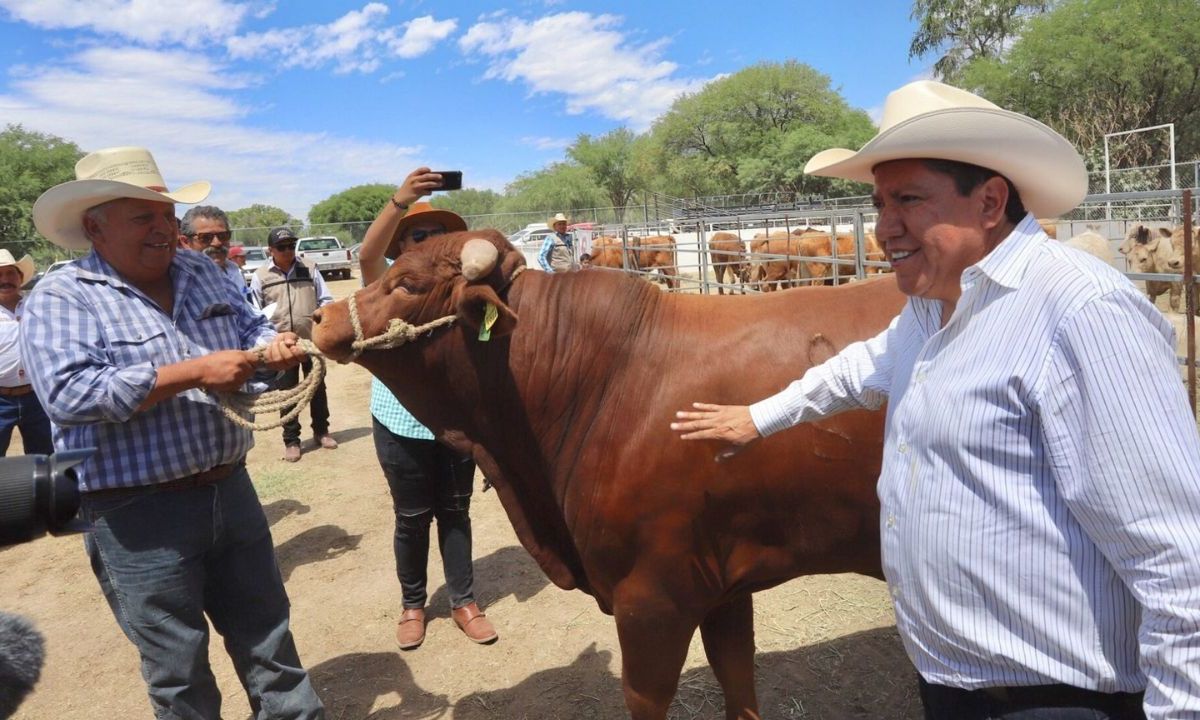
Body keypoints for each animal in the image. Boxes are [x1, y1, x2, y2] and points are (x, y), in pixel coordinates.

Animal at [309, 230, 902, 720]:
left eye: (408, 284)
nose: (320, 319)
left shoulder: (652, 597)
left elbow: (646, 695)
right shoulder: (725, 583)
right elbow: (737, 676)